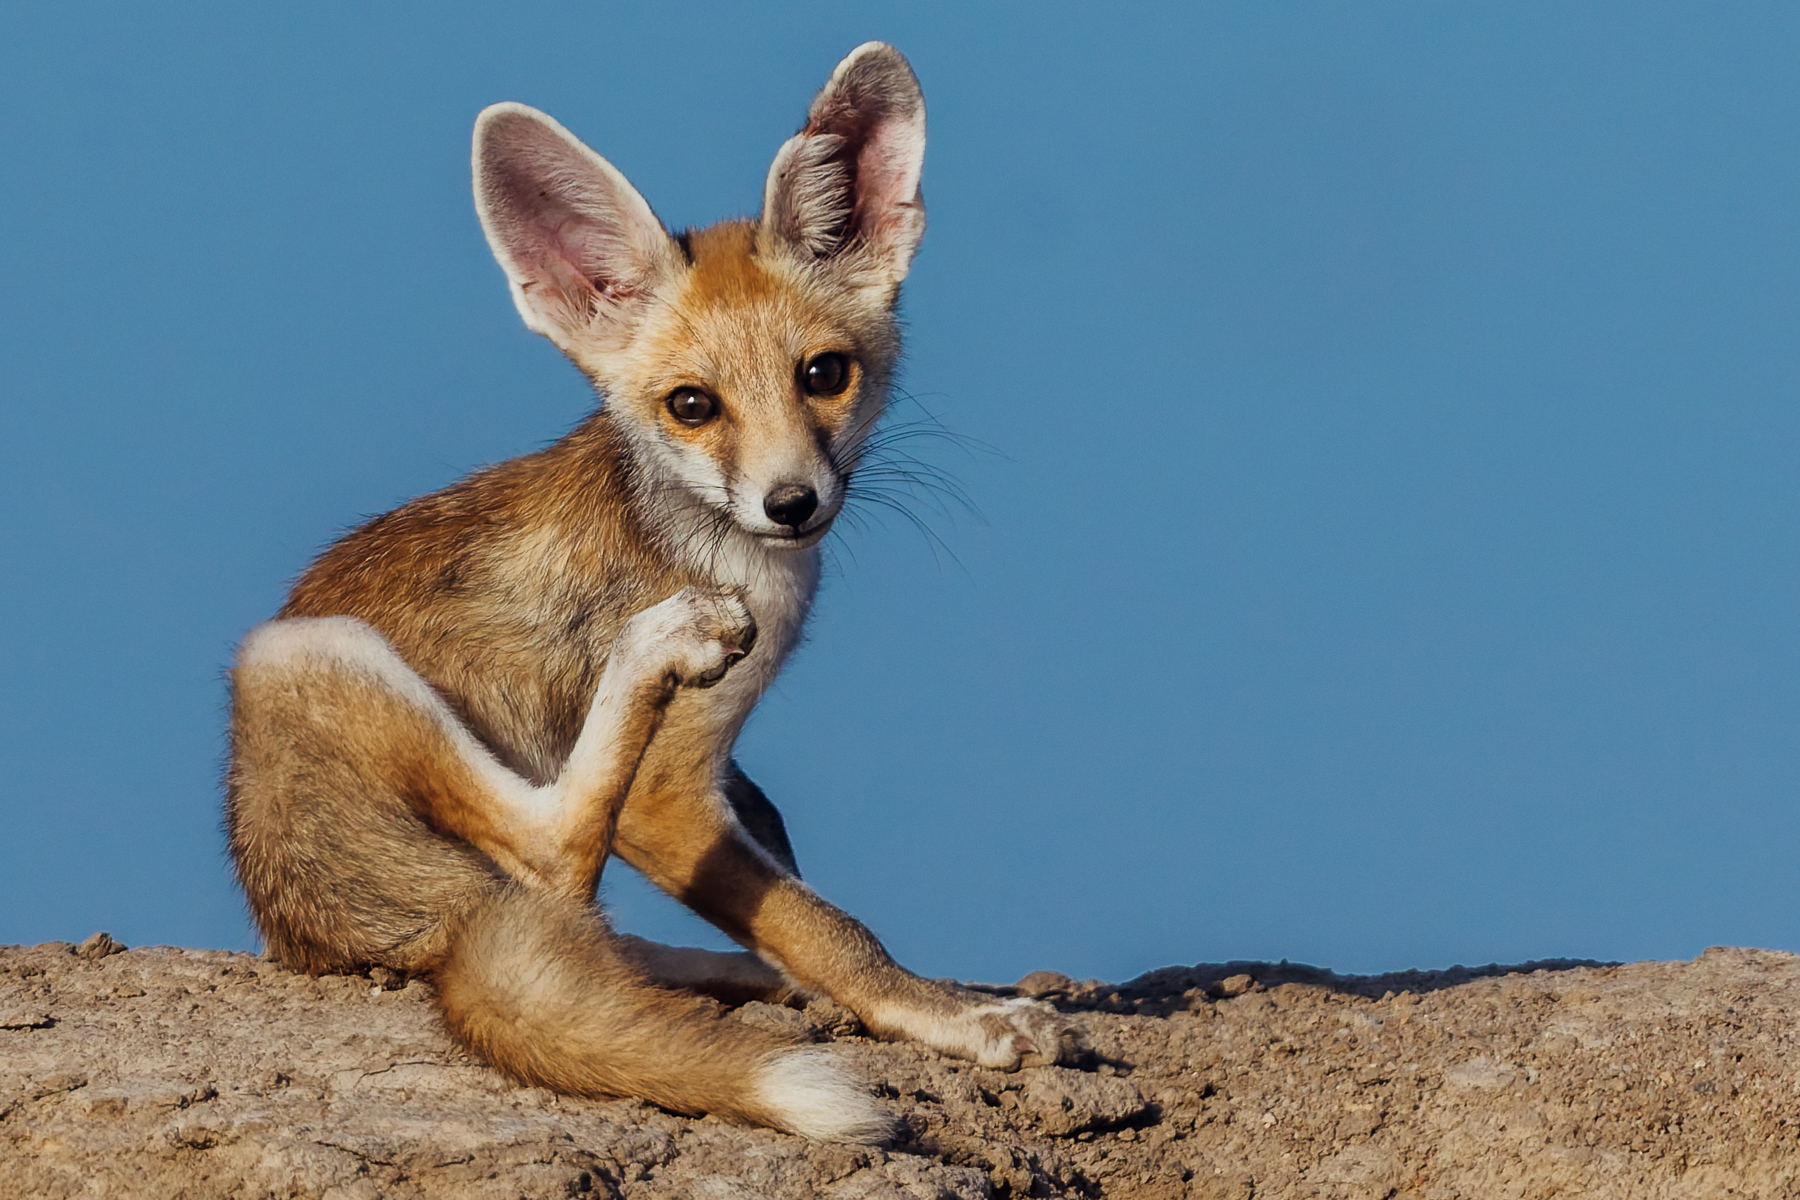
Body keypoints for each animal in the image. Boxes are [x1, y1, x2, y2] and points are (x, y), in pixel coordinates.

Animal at [224, 43, 1077, 1143]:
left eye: (824, 374)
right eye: (692, 405)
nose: (792, 503)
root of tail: (295, 923)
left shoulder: (725, 779)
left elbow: (784, 869)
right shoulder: (668, 798)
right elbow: (830, 925)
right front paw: (948, 1017)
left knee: (591, 929)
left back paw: (721, 978)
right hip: (296, 654)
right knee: (553, 854)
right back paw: (658, 652)